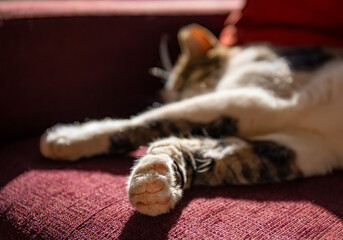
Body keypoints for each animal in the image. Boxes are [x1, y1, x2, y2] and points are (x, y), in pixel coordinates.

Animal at [39, 24, 343, 218]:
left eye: (182, 82)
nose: (173, 95)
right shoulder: (304, 147)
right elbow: (219, 157)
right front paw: (157, 176)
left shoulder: (258, 98)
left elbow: (147, 120)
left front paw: (67, 138)